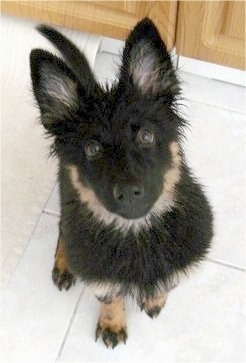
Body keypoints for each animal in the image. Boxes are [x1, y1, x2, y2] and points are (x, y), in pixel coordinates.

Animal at [29, 18, 213, 348]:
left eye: (146, 136)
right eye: (91, 149)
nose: (128, 193)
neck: (136, 233)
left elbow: (167, 282)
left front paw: (154, 300)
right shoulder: (100, 274)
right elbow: (109, 296)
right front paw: (112, 325)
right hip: (67, 196)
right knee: (64, 230)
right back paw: (64, 264)